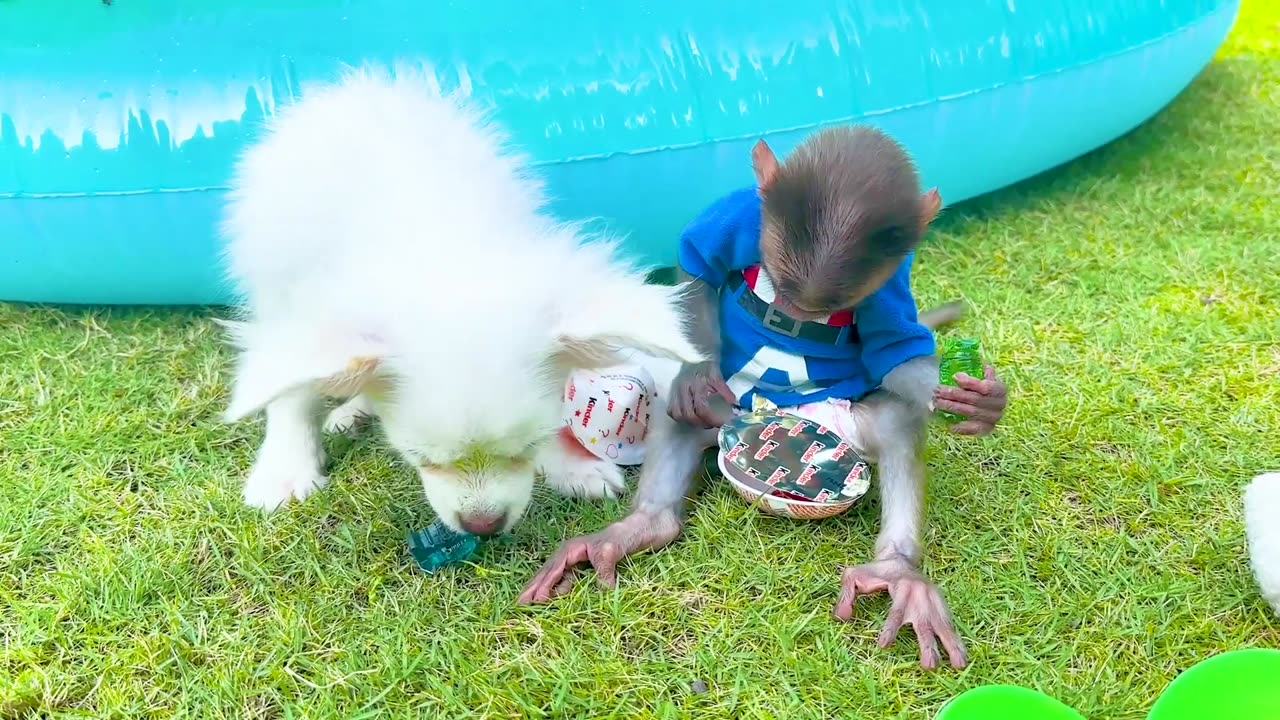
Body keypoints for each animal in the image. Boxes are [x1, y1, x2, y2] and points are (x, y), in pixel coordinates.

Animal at [217, 63, 701, 532]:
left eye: (527, 446)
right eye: (418, 456)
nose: (483, 525)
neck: (434, 240)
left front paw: (570, 465)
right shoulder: (289, 304)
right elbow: (289, 395)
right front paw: (285, 470)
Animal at [514, 122, 1003, 666]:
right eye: (777, 289)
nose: (792, 313)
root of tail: (774, 412)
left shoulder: (889, 286)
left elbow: (894, 355)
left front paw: (979, 400)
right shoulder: (737, 214)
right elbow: (699, 271)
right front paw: (697, 368)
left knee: (896, 420)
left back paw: (897, 571)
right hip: (726, 410)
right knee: (682, 414)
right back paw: (641, 525)